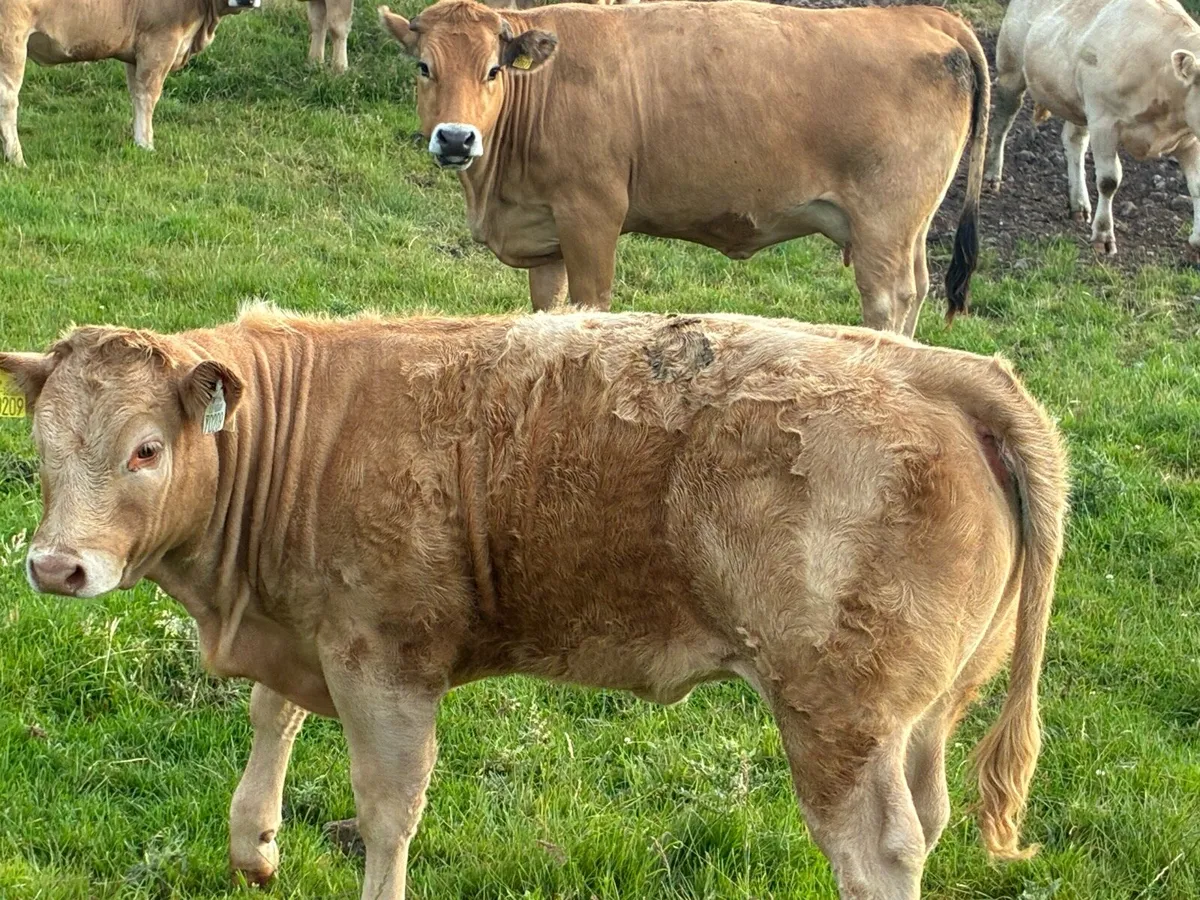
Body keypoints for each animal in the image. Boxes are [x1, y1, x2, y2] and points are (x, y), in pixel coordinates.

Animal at [0, 0, 260, 166]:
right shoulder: (158, 44)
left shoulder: (134, 54)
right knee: (8, 99)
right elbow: (148, 96)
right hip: (11, 40)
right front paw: (146, 145)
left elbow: (136, 95)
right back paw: (17, 159)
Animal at [3, 305, 1068, 899]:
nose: (55, 567)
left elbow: (388, 809)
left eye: (147, 448)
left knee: (877, 852)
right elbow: (274, 718)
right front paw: (254, 847)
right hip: (923, 711)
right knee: (928, 815)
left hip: (836, 716)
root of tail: (938, 367)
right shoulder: (308, 624)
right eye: (43, 445)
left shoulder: (387, 661)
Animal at [376, 0, 991, 336]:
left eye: (493, 70)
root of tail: (923, 17)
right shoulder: (543, 231)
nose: (456, 137)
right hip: (907, 230)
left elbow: (590, 306)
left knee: (889, 300)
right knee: (918, 289)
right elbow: (547, 311)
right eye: (424, 66)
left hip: (882, 227)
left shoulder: (592, 217)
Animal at [985, 0, 1200, 257]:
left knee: (1074, 141)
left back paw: (1078, 203)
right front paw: (1104, 235)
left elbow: (1197, 185)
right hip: (1011, 71)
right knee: (1002, 124)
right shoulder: (1104, 121)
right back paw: (992, 176)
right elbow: (1109, 180)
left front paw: (1198, 240)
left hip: (1077, 103)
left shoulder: (1189, 137)